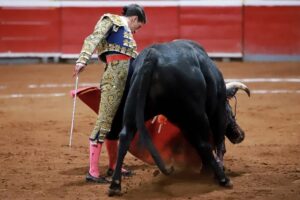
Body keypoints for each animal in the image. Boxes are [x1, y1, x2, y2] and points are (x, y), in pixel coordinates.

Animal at [108, 39, 251, 196]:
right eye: (230, 112)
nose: (239, 135)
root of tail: (152, 56)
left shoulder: (184, 123)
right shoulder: (217, 111)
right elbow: (218, 143)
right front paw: (214, 170)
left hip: (132, 104)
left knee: (125, 136)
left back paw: (115, 185)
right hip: (197, 114)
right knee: (204, 143)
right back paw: (223, 179)